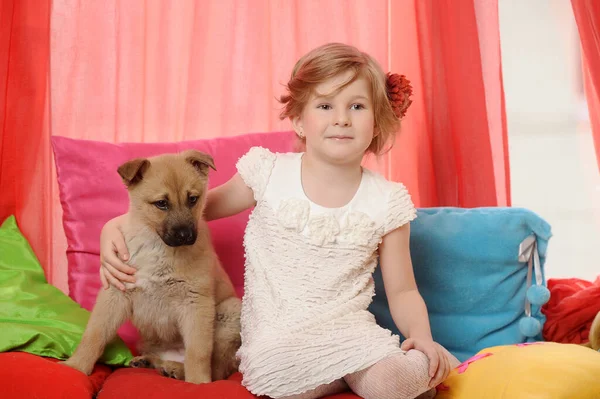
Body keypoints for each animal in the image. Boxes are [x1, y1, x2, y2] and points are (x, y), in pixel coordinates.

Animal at [65, 150, 241, 384]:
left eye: (193, 199)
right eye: (161, 203)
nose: (186, 236)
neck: (158, 249)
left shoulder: (196, 304)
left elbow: (198, 352)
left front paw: (198, 383)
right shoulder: (115, 295)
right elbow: (94, 334)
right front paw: (76, 366)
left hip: (230, 312)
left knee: (217, 369)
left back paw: (176, 369)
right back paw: (151, 362)